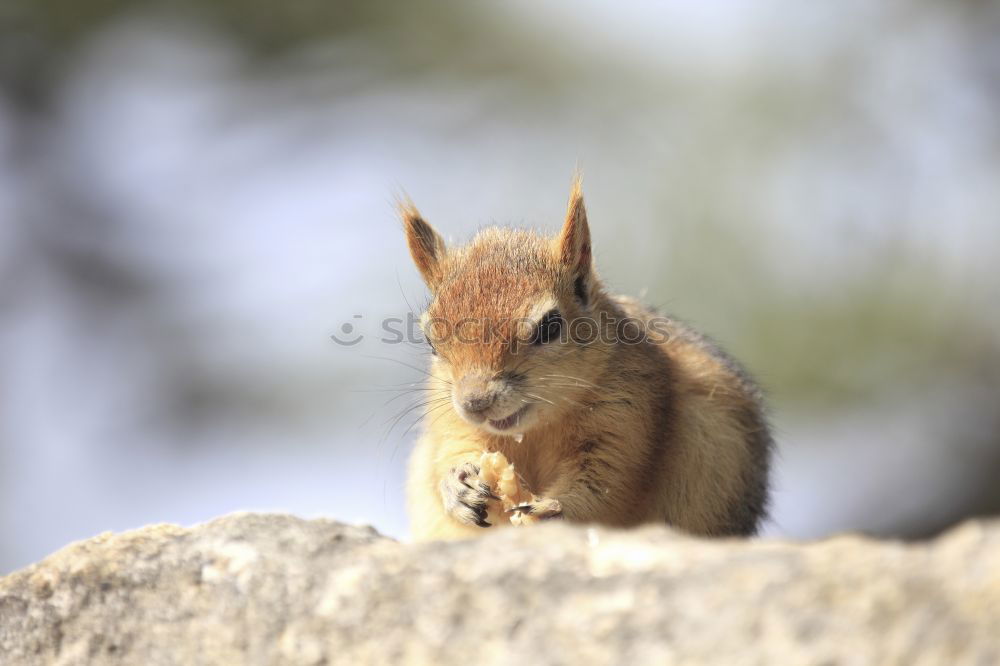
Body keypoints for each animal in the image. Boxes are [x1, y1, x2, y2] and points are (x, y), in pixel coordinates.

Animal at [398, 178, 772, 540]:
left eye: (550, 326)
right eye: (430, 339)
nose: (475, 403)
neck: (537, 427)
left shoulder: (630, 418)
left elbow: (607, 485)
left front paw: (553, 509)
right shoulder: (451, 419)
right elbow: (453, 450)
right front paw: (457, 484)